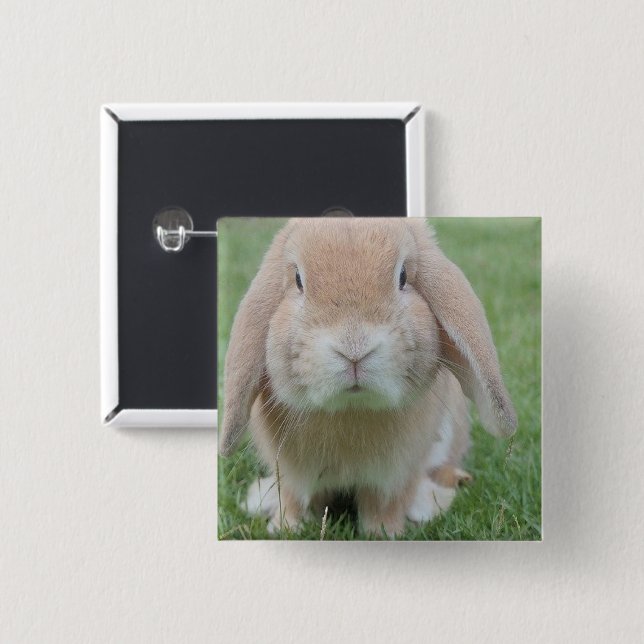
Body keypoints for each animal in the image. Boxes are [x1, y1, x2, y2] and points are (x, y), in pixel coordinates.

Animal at [219, 217, 517, 538]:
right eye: (298, 279)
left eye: (403, 276)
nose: (354, 349)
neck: (352, 408)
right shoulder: (290, 473)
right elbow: (293, 499)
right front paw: (285, 529)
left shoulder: (394, 476)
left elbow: (383, 505)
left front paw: (385, 533)